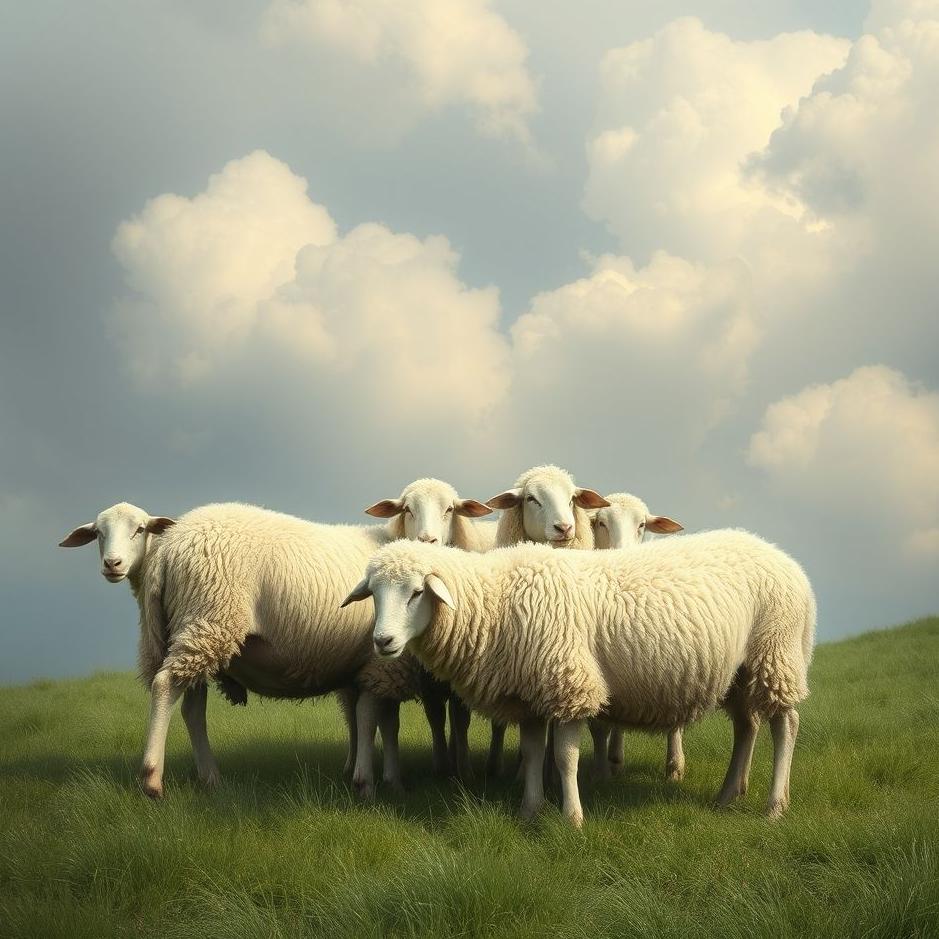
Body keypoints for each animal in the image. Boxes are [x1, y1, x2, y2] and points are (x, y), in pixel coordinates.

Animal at [59, 480, 491, 799]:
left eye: (450, 509)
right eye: (406, 508)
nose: (429, 540)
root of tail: (169, 549)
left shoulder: (370, 665)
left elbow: (379, 720)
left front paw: (384, 776)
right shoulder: (385, 662)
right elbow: (377, 719)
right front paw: (373, 782)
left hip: (187, 630)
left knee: (191, 706)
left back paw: (210, 777)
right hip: (210, 617)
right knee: (166, 687)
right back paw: (151, 779)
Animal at [343, 531, 815, 826]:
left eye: (416, 592)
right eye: (374, 593)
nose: (383, 642)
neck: (496, 602)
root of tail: (790, 563)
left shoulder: (567, 684)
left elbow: (564, 757)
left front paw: (572, 817)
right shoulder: (530, 694)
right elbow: (533, 753)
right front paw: (530, 811)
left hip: (776, 651)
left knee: (785, 724)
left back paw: (775, 805)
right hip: (742, 670)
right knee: (747, 726)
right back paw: (728, 794)